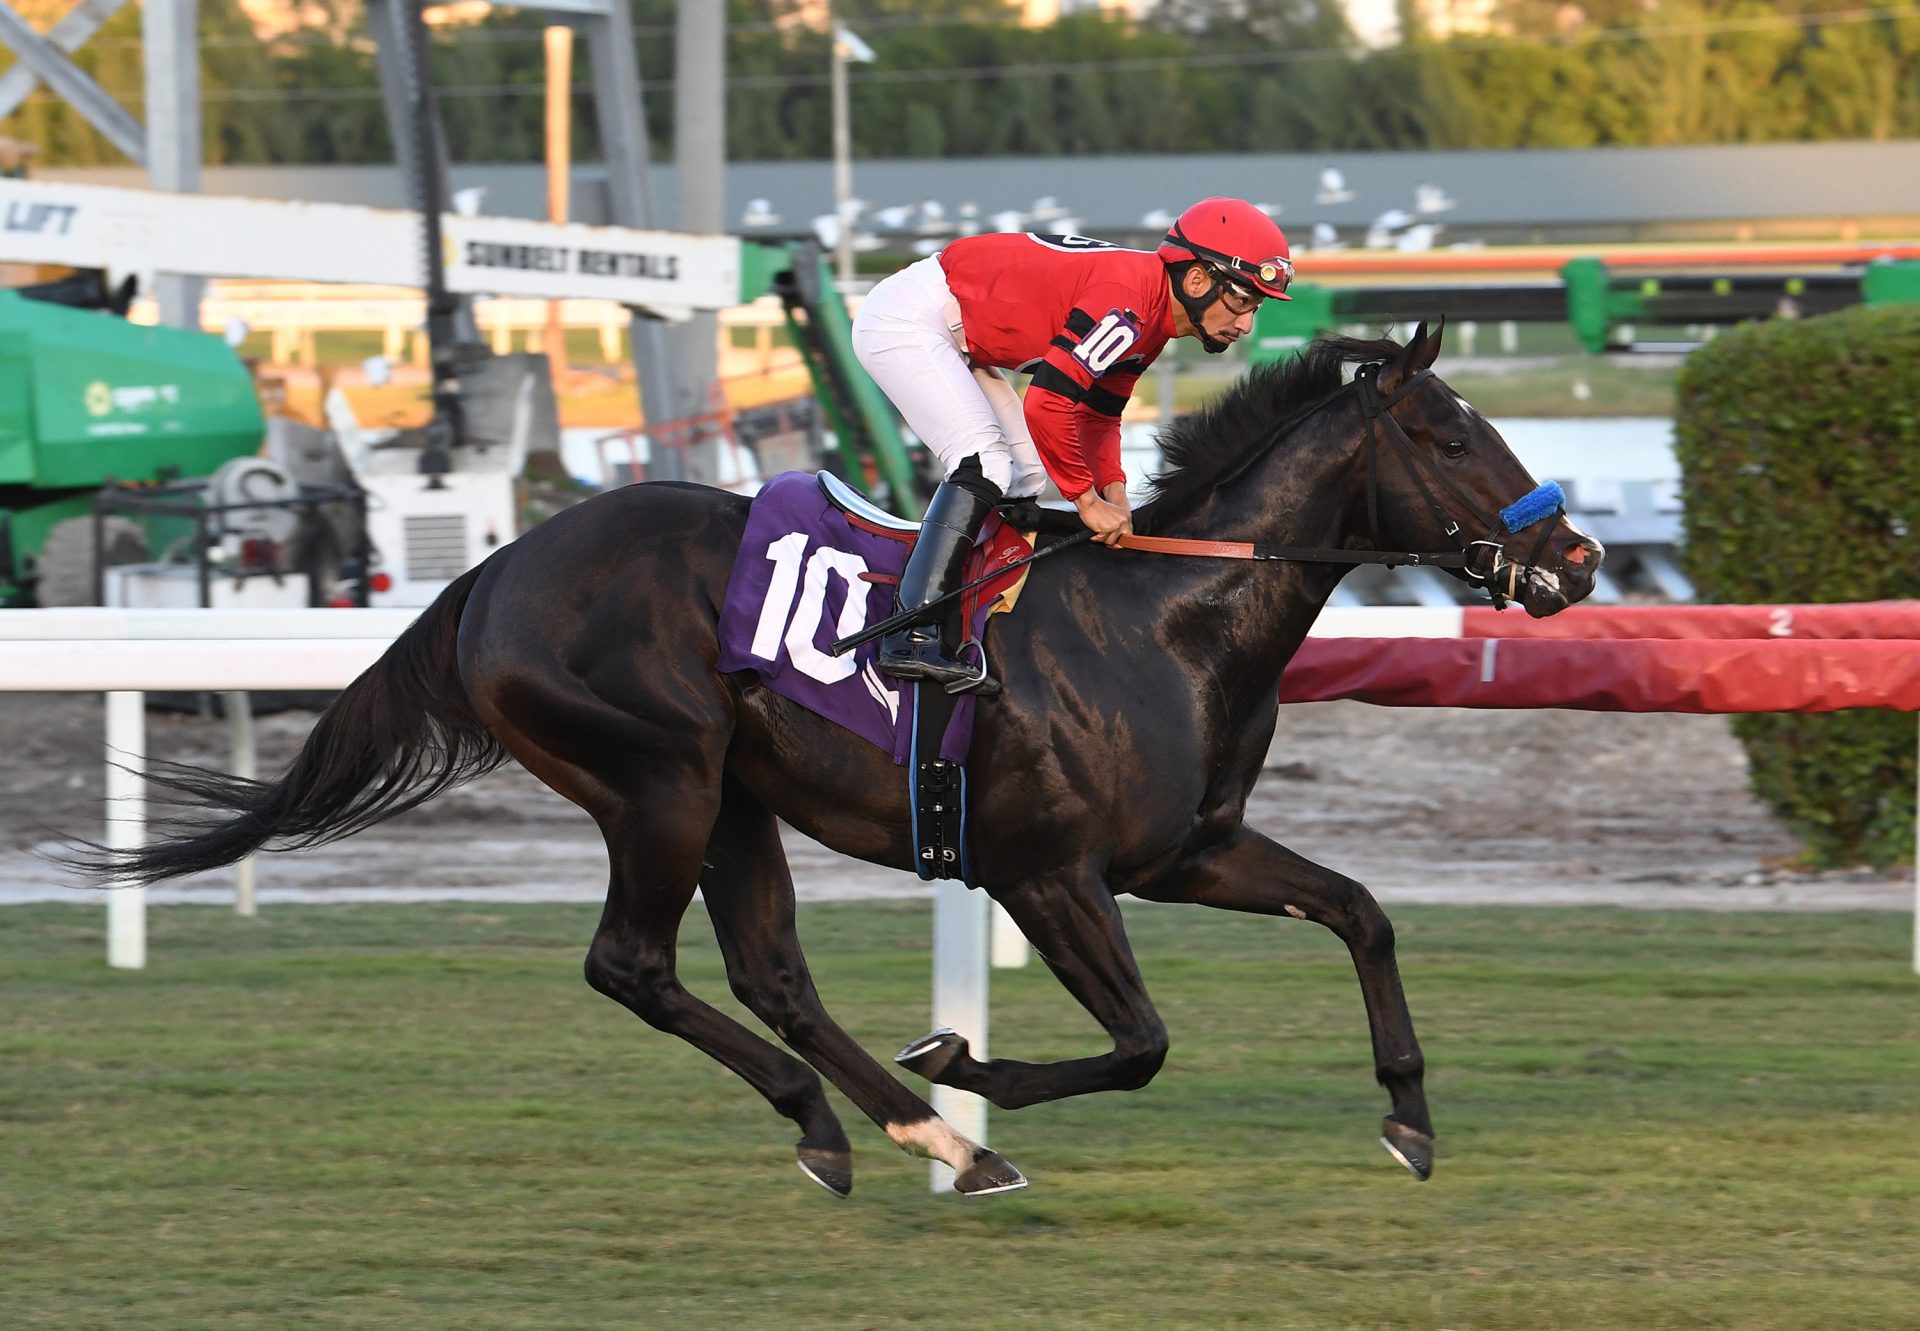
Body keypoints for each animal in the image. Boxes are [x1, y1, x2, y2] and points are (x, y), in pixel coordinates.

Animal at [78, 322, 1605, 1190]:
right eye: (1449, 433)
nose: (1579, 559)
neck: (1161, 615)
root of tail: (495, 571)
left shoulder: (1189, 850)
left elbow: (1361, 909)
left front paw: (1410, 1115)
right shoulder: (1048, 871)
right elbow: (1142, 1043)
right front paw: (970, 1058)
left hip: (733, 797)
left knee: (772, 974)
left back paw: (907, 1134)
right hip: (660, 778)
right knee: (633, 965)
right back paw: (898, 1125)